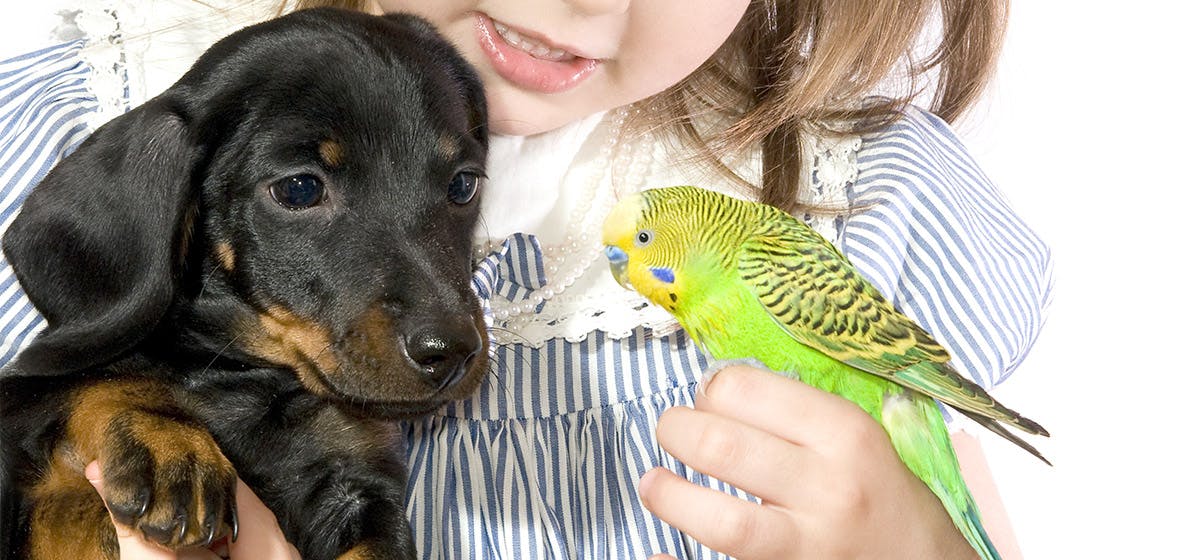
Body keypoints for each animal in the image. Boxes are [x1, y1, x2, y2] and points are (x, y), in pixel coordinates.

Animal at [1, 8, 487, 560]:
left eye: (464, 185)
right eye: (299, 189)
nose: (452, 352)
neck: (248, 376)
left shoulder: (360, 487)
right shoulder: (22, 422)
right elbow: (93, 381)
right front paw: (165, 440)